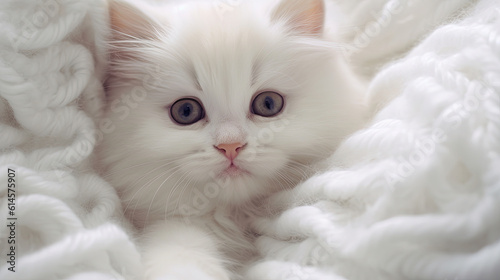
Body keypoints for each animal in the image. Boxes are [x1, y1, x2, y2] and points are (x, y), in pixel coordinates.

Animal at [96, 0, 364, 278]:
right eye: (186, 111)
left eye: (268, 104)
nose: (230, 146)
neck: (237, 218)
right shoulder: (174, 227)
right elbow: (182, 261)